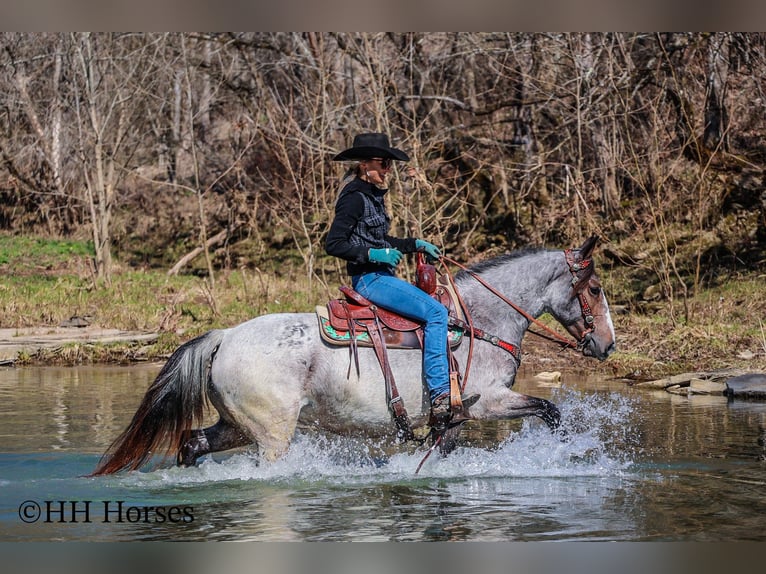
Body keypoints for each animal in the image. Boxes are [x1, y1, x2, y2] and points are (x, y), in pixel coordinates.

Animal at [91, 235, 616, 475]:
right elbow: (551, 411)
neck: (481, 322)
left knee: (193, 443)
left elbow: (442, 450)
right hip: (272, 434)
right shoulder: (488, 402)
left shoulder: (458, 418)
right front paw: (561, 453)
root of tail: (224, 335)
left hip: (235, 424)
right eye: (594, 288)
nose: (607, 344)